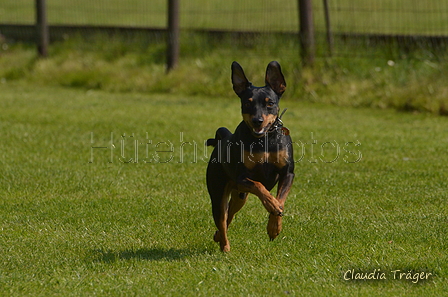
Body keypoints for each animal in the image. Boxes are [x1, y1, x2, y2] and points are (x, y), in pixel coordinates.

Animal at [206, 61, 294, 251]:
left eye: (270, 103)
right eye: (248, 103)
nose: (257, 121)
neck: (264, 140)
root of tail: (223, 138)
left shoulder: (287, 173)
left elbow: (281, 199)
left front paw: (274, 228)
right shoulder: (242, 178)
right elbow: (259, 186)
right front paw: (271, 204)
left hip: (240, 197)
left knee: (229, 214)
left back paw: (217, 236)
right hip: (218, 192)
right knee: (222, 218)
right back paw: (224, 246)